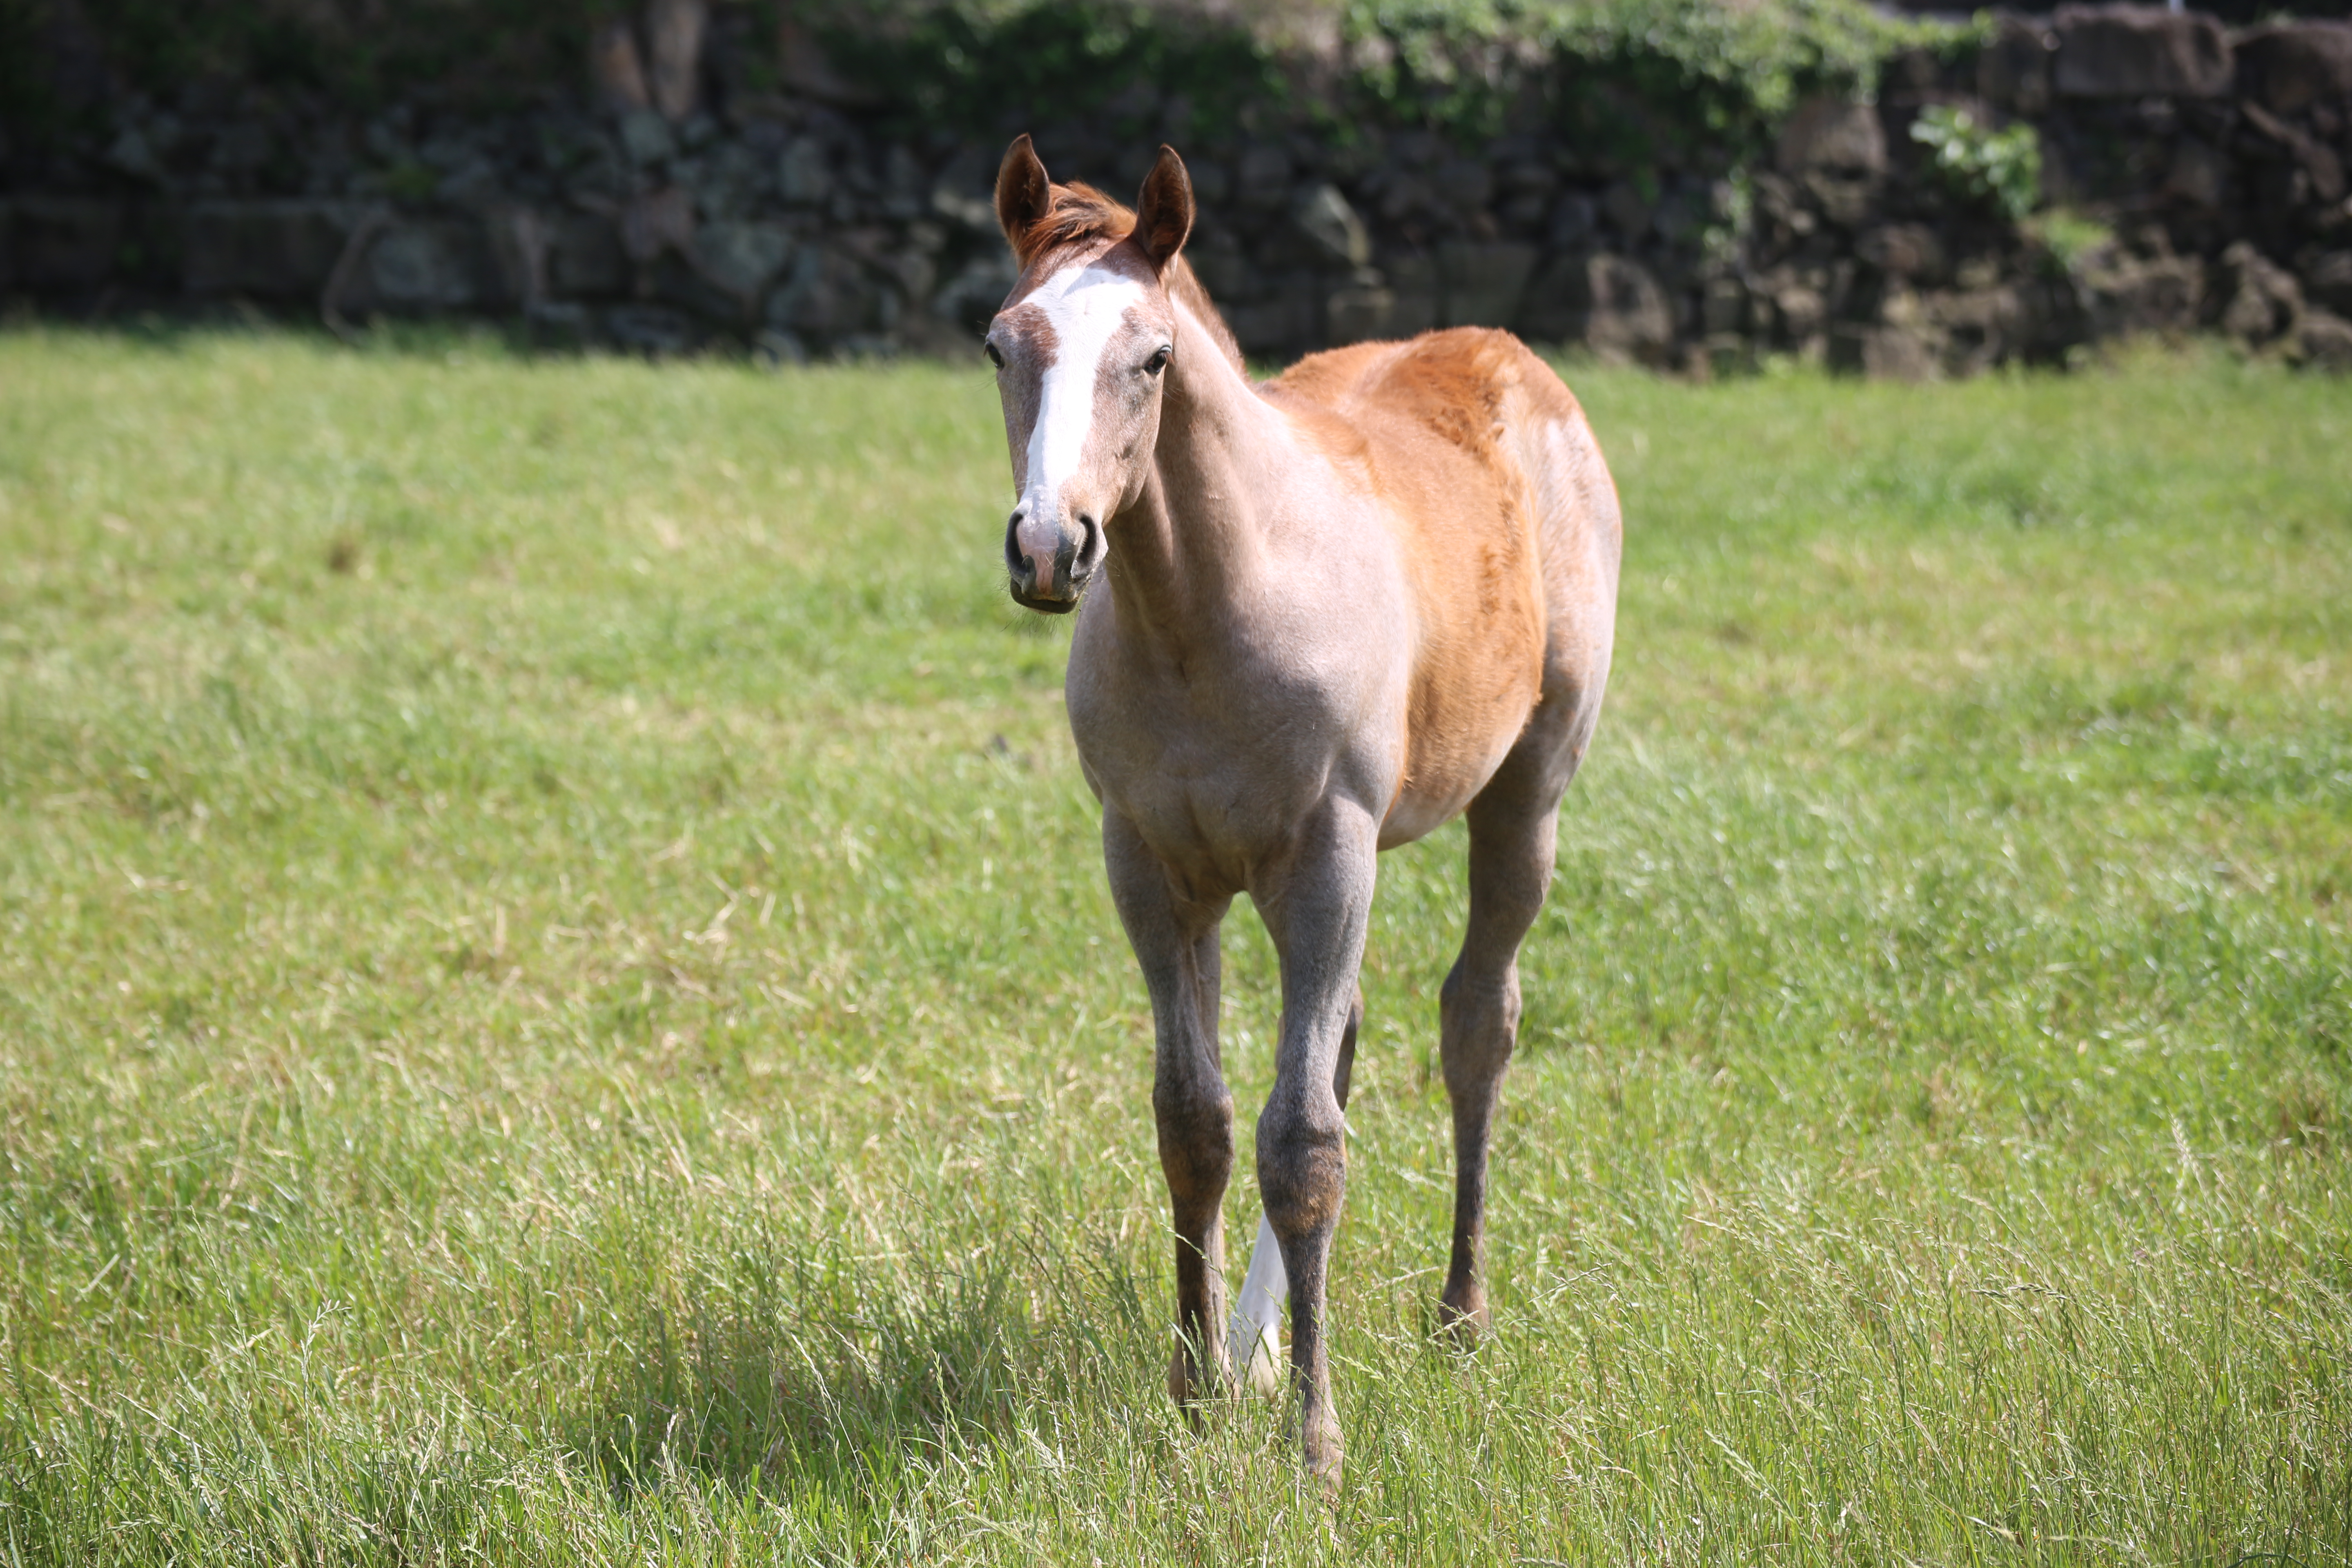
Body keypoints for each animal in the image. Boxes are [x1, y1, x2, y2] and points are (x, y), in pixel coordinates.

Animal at [983, 138, 1627, 1495]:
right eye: (1001, 345)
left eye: (1152, 357)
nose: (1051, 547)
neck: (1206, 614)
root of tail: (1505, 349)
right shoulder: (1151, 866)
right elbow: (1199, 1125)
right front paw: (1196, 1389)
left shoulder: (1328, 853)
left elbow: (1305, 1148)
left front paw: (1317, 1447)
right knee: (1338, 1045)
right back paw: (1257, 1346)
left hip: (1522, 797)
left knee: (1476, 1025)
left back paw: (1458, 1317)